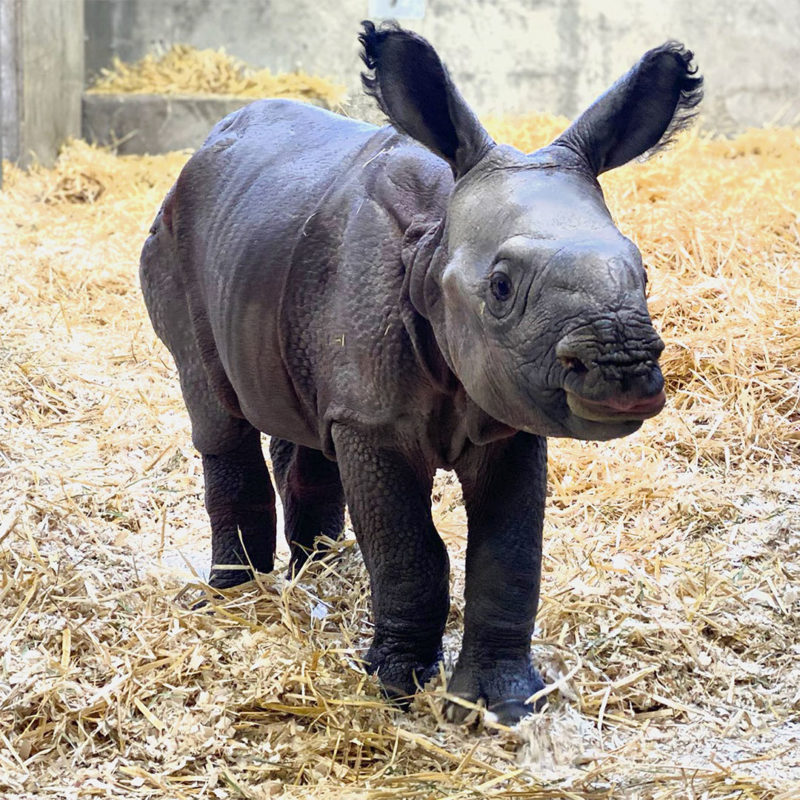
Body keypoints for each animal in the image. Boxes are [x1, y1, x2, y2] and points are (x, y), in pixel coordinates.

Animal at [142, 23, 700, 724]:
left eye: (644, 272)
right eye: (500, 287)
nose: (623, 370)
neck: (437, 244)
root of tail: (199, 151)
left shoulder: (509, 417)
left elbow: (509, 555)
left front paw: (501, 703)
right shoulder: (374, 422)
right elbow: (409, 548)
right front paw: (395, 688)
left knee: (304, 418)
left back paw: (317, 573)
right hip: (172, 238)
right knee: (217, 411)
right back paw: (235, 595)